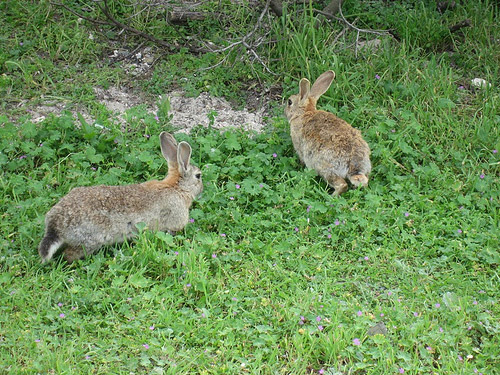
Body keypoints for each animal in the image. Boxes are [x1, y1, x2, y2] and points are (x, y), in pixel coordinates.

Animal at [38, 132, 203, 264]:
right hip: (90, 240)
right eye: (198, 176)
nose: (202, 188)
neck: (177, 187)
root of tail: (55, 225)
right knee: (70, 254)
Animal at [286, 69, 372, 197]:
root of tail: (355, 164)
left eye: (289, 102)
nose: (285, 109)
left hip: (325, 168)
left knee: (342, 185)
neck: (304, 113)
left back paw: (330, 196)